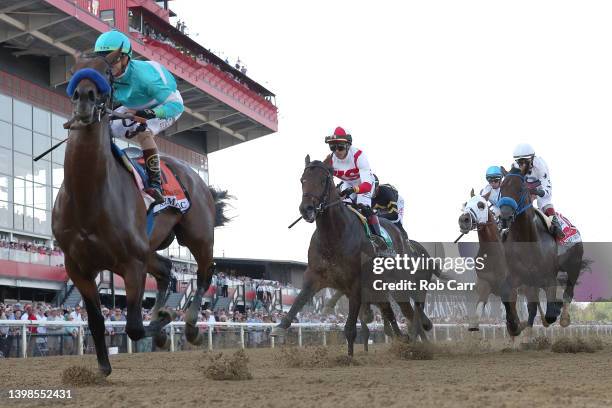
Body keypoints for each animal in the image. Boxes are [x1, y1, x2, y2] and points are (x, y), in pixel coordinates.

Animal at [52, 51, 228, 376]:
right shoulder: (77, 267)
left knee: (204, 273)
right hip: (151, 248)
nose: (84, 97)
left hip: (197, 236)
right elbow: (96, 320)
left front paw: (164, 320)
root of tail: (197, 179)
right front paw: (103, 366)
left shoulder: (132, 264)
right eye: (73, 69)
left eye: (107, 73)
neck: (88, 195)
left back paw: (190, 325)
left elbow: (133, 326)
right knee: (167, 270)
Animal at [270, 156, 438, 354]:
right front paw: (280, 327)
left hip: (399, 284)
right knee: (401, 312)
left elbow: (350, 329)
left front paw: (348, 357)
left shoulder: (357, 283)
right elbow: (299, 299)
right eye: (302, 180)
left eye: (323, 180)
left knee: (412, 312)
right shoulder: (316, 276)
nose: (307, 209)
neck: (333, 236)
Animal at [460, 190, 520, 336]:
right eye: (465, 203)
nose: (463, 220)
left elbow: (513, 316)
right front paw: (473, 326)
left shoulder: (512, 289)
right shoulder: (484, 283)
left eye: (481, 205)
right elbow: (478, 311)